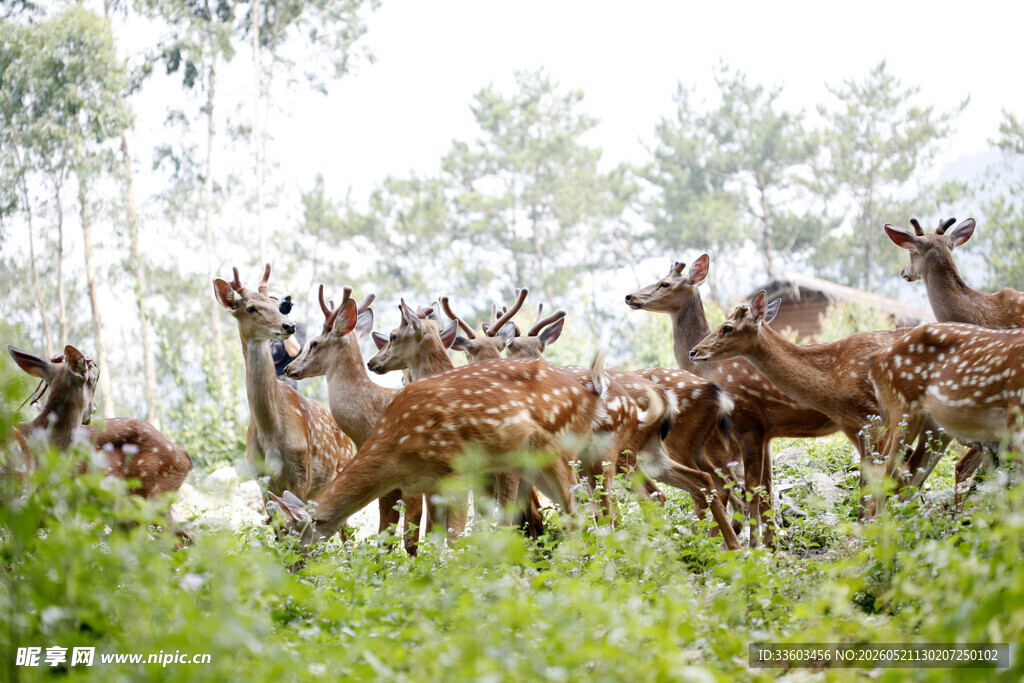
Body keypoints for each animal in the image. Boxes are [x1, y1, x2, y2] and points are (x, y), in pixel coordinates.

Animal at [213, 264, 356, 503]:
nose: (289, 325)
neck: (270, 430)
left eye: (276, 306)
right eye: (251, 308)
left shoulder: (302, 470)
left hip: (339, 466)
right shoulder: (260, 476)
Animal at [626, 256, 838, 546]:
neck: (711, 369)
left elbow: (750, 490)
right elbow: (766, 489)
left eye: (664, 283)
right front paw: (770, 544)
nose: (630, 296)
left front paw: (754, 545)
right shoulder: (764, 433)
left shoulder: (742, 428)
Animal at [868, 322, 1024, 513]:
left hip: (936, 429)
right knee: (882, 481)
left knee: (908, 481)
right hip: (903, 409)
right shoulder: (1015, 415)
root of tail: (875, 359)